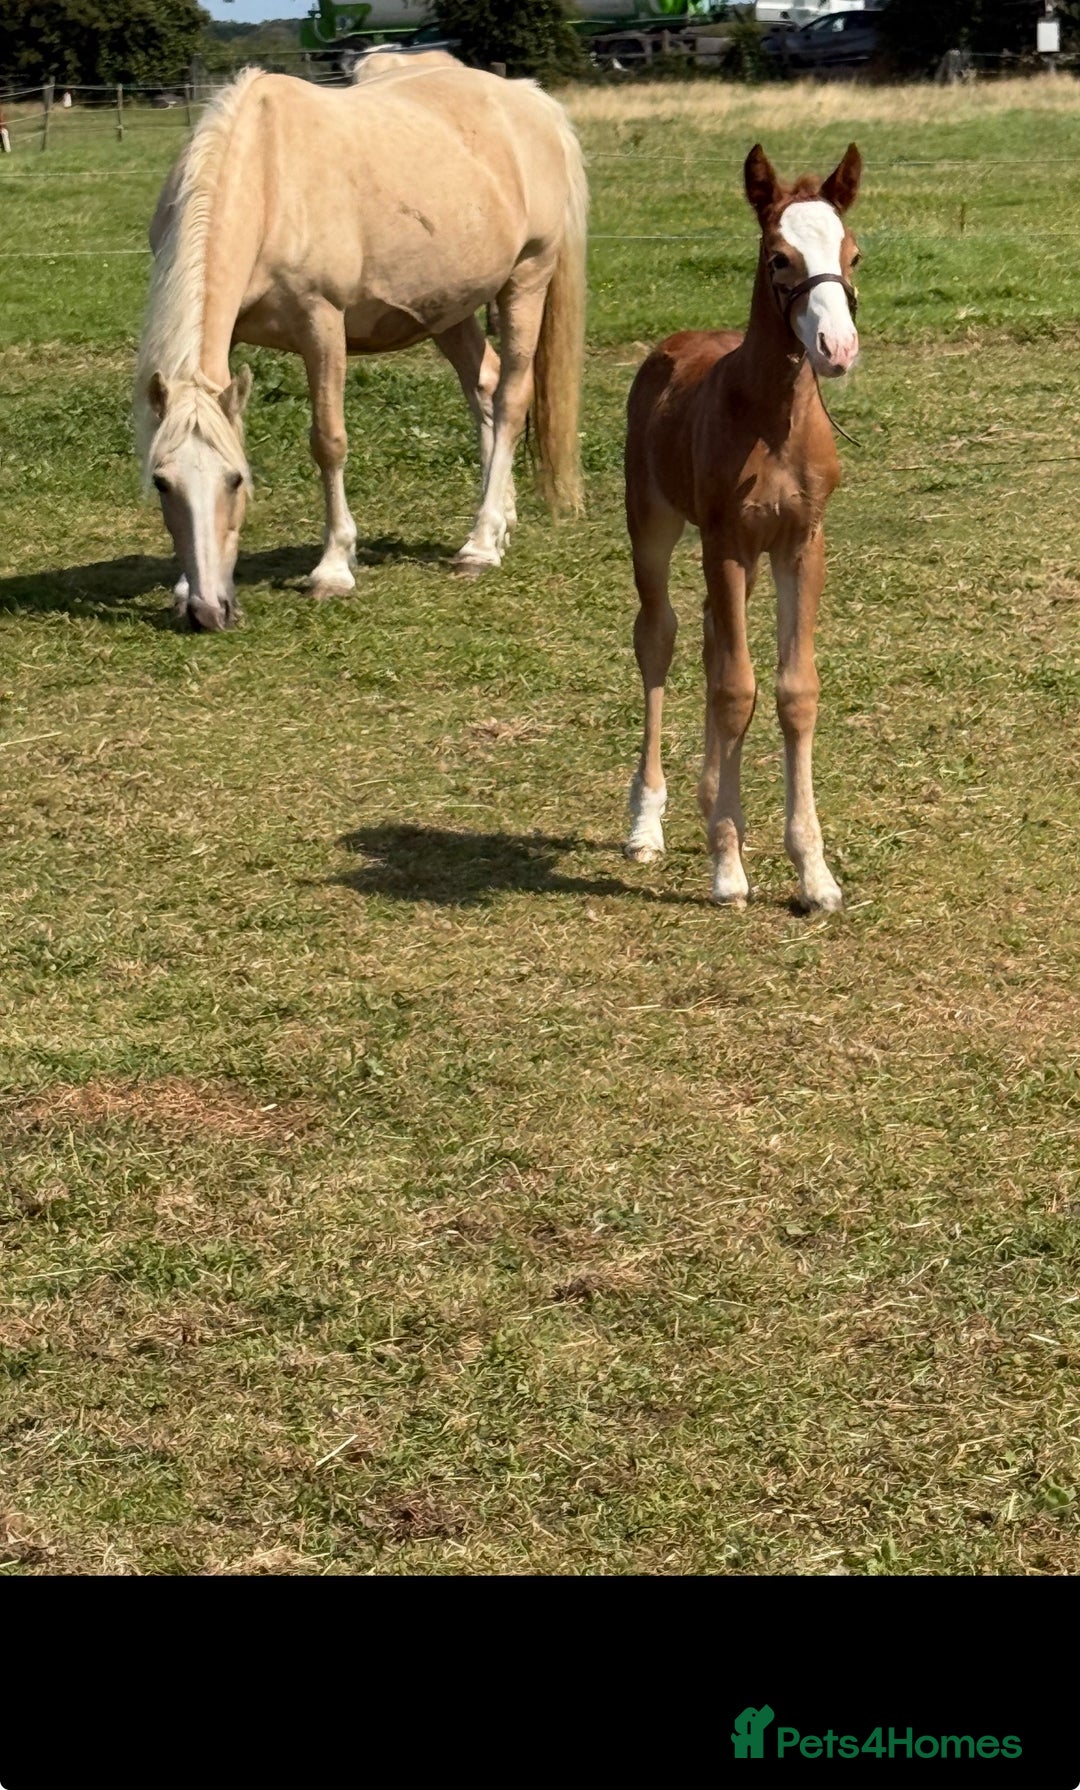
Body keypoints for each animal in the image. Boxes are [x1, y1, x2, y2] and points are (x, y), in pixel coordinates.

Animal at [136, 62, 587, 631]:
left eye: (237, 481)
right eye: (161, 483)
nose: (207, 612)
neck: (269, 178)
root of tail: (532, 101)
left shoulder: (322, 324)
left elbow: (328, 441)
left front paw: (333, 568)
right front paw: (180, 587)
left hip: (527, 279)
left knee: (509, 398)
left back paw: (481, 544)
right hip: (450, 308)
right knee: (483, 387)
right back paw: (501, 517)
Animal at [623, 142, 862, 913]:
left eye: (853, 253)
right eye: (778, 257)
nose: (836, 348)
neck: (773, 420)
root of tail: (677, 340)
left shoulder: (801, 543)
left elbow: (792, 691)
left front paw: (813, 872)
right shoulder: (725, 542)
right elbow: (735, 690)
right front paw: (727, 869)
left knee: (706, 640)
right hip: (654, 522)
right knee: (660, 637)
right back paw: (647, 822)